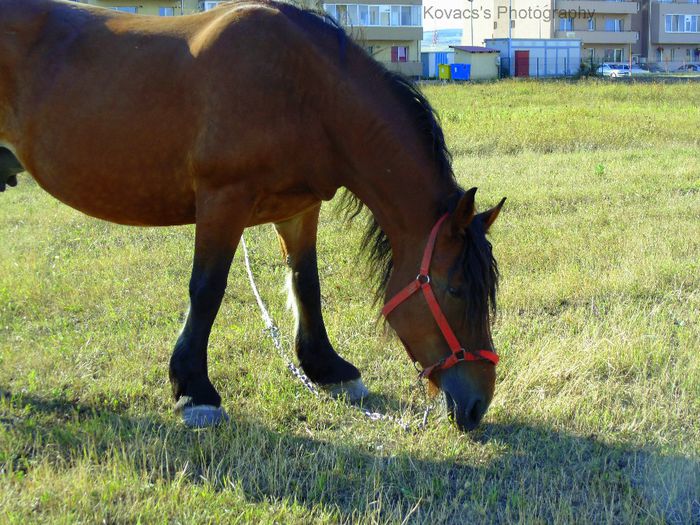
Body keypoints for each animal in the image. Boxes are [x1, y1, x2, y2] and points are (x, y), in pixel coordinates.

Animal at [0, 0, 504, 430]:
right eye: (456, 289)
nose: (477, 403)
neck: (302, 89)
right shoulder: (223, 201)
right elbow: (207, 290)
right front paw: (194, 391)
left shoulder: (300, 210)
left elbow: (306, 284)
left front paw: (327, 368)